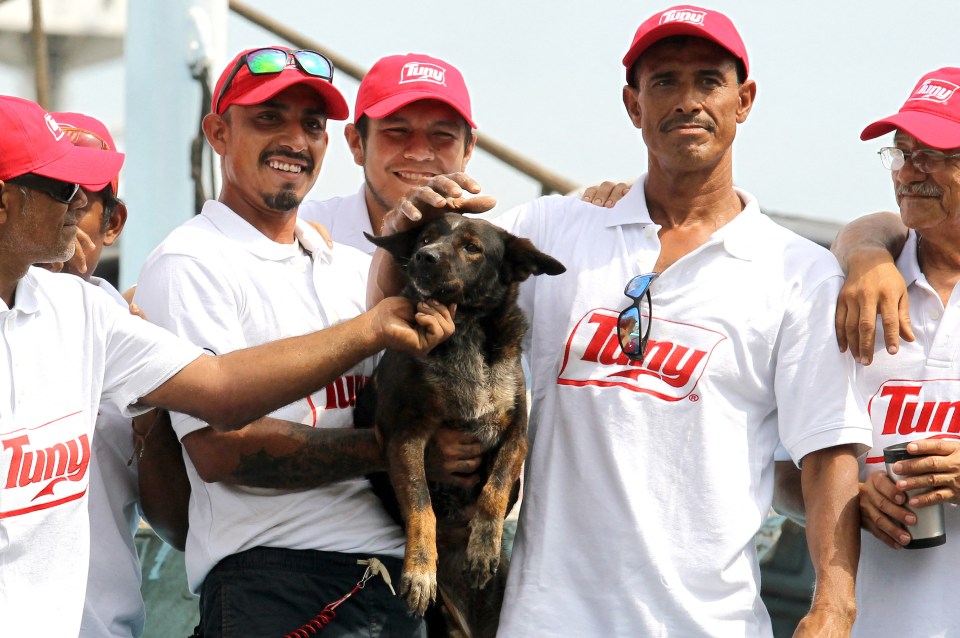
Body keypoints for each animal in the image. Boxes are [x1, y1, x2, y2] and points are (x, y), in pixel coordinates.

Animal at [352, 214, 564, 636]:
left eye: (471, 247)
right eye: (425, 238)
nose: (424, 256)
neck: (464, 328)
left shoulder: (516, 436)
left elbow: (494, 490)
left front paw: (482, 549)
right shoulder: (403, 436)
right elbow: (421, 506)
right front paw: (420, 570)